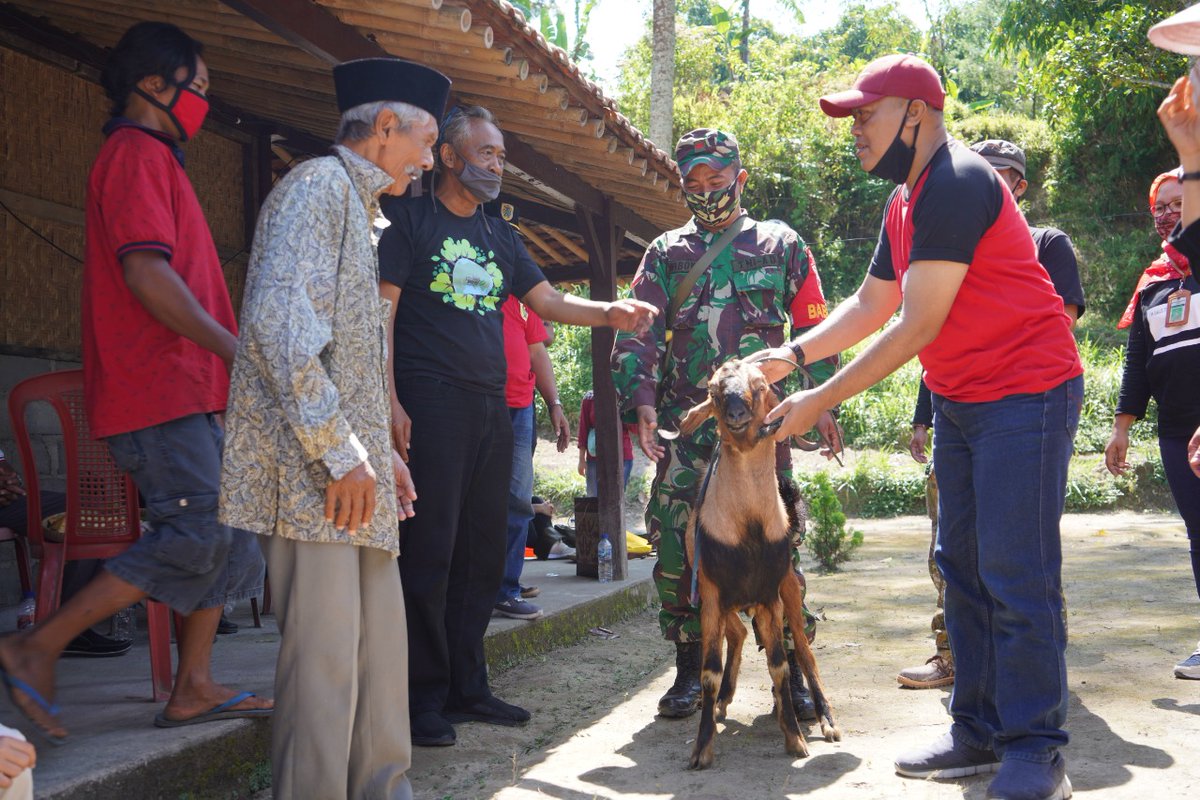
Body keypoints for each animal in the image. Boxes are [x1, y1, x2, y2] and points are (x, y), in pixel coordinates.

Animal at [681, 357, 840, 767]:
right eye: (714, 391)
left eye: (761, 384)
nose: (736, 414)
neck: (748, 528)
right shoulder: (711, 593)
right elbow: (709, 671)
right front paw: (701, 749)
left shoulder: (770, 595)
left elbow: (780, 664)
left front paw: (795, 738)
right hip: (723, 601)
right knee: (736, 634)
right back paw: (722, 701)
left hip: (790, 589)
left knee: (803, 649)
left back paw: (825, 719)